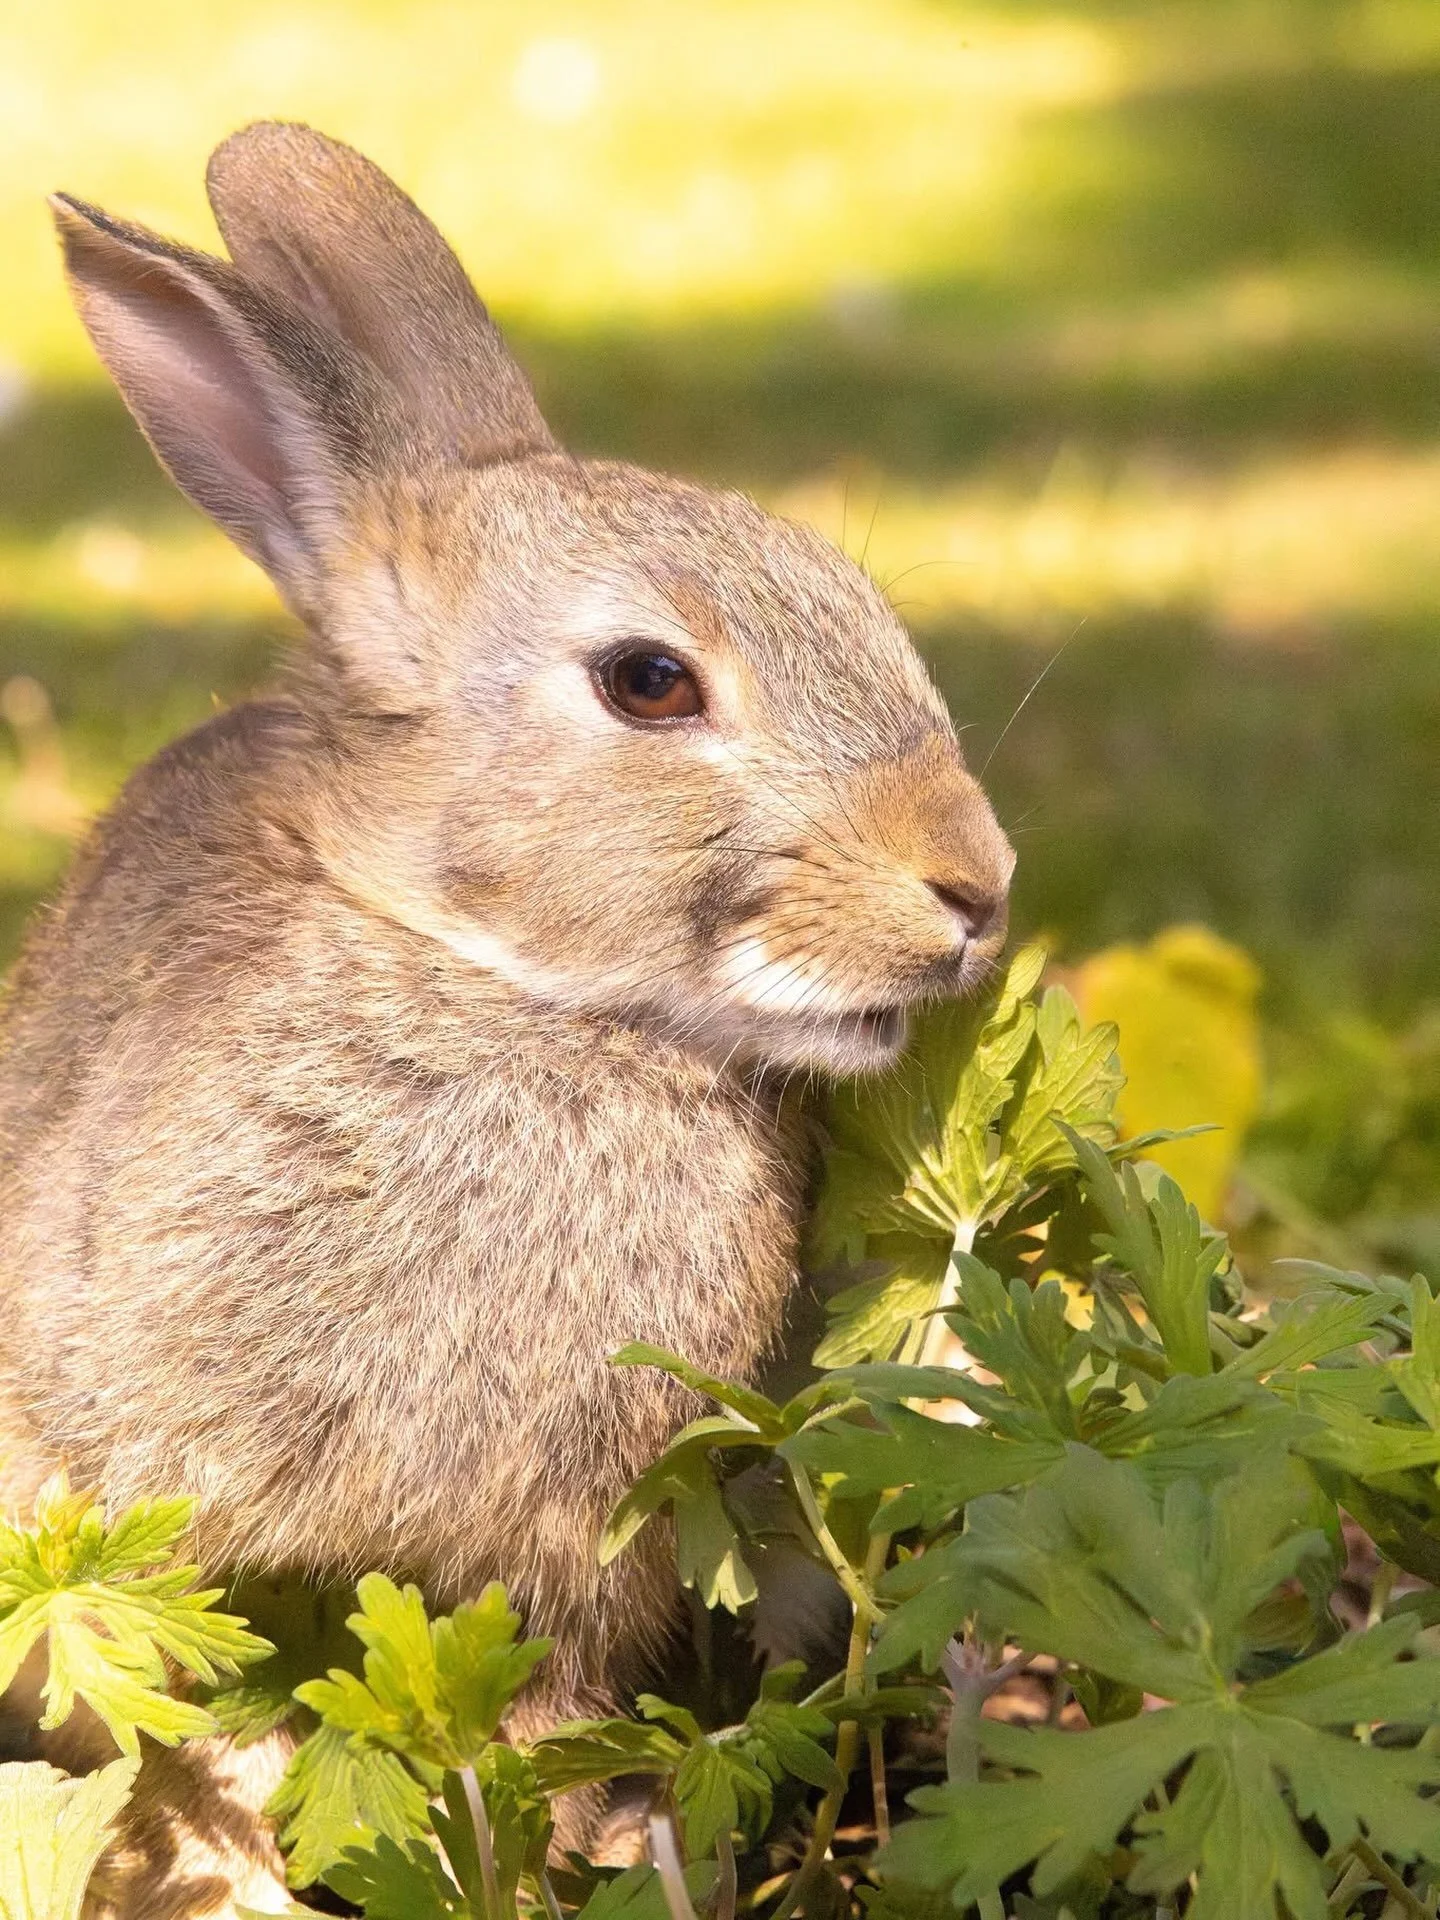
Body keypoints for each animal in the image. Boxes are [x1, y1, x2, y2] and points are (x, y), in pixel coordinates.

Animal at [0, 123, 1013, 1916]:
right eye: (648, 683)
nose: (977, 885)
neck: (483, 977)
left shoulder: (587, 1556)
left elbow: (553, 1715)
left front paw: (597, 1845)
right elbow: (194, 1737)